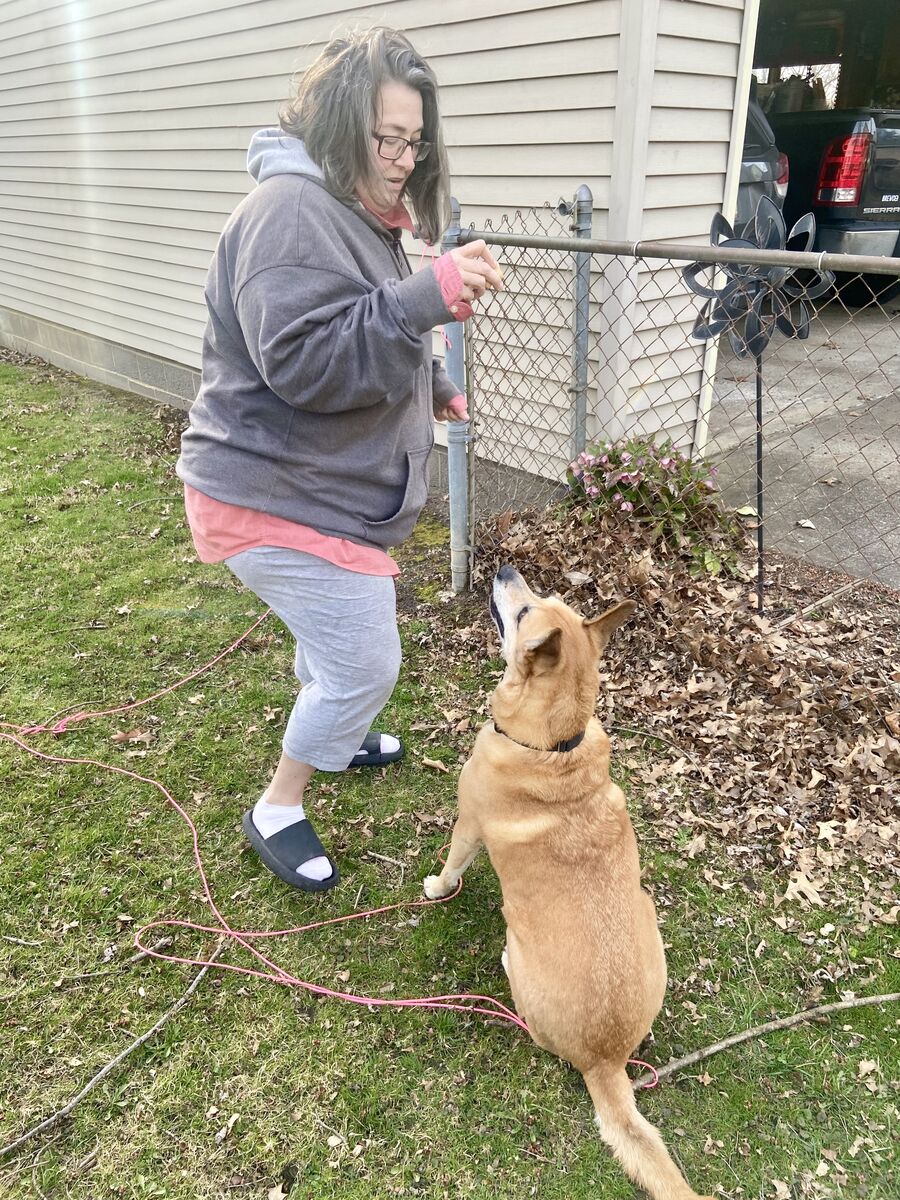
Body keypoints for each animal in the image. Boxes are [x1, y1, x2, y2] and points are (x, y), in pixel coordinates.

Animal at [427, 564, 715, 1200]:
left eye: (524, 611)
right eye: (545, 596)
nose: (505, 568)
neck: (554, 745)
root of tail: (605, 1061)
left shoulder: (468, 823)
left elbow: (453, 862)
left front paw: (435, 887)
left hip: (521, 958)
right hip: (646, 910)